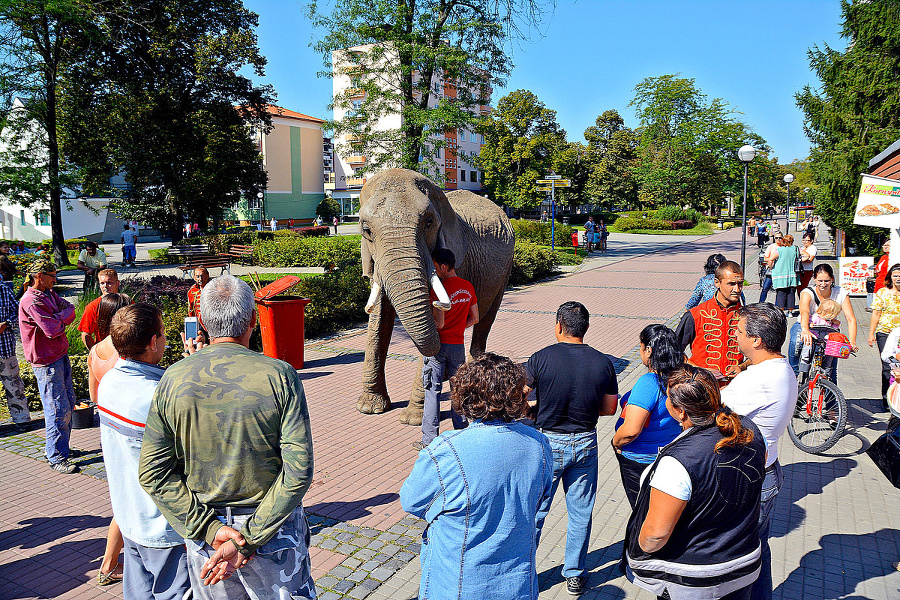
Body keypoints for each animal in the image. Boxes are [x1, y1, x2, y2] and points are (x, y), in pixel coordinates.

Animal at [356, 166, 512, 424]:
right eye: (366, 231)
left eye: (429, 223)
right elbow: (379, 318)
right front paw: (369, 408)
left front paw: (412, 419)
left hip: (504, 271)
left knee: (487, 317)